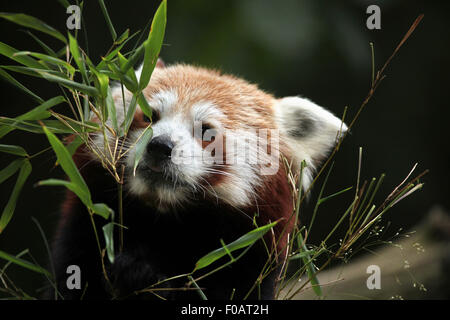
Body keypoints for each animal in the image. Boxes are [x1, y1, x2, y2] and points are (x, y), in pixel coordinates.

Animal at [48, 60, 344, 300]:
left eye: (207, 132)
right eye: (149, 116)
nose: (159, 146)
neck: (164, 223)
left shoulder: (246, 258)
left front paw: (142, 275)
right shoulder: (86, 230)